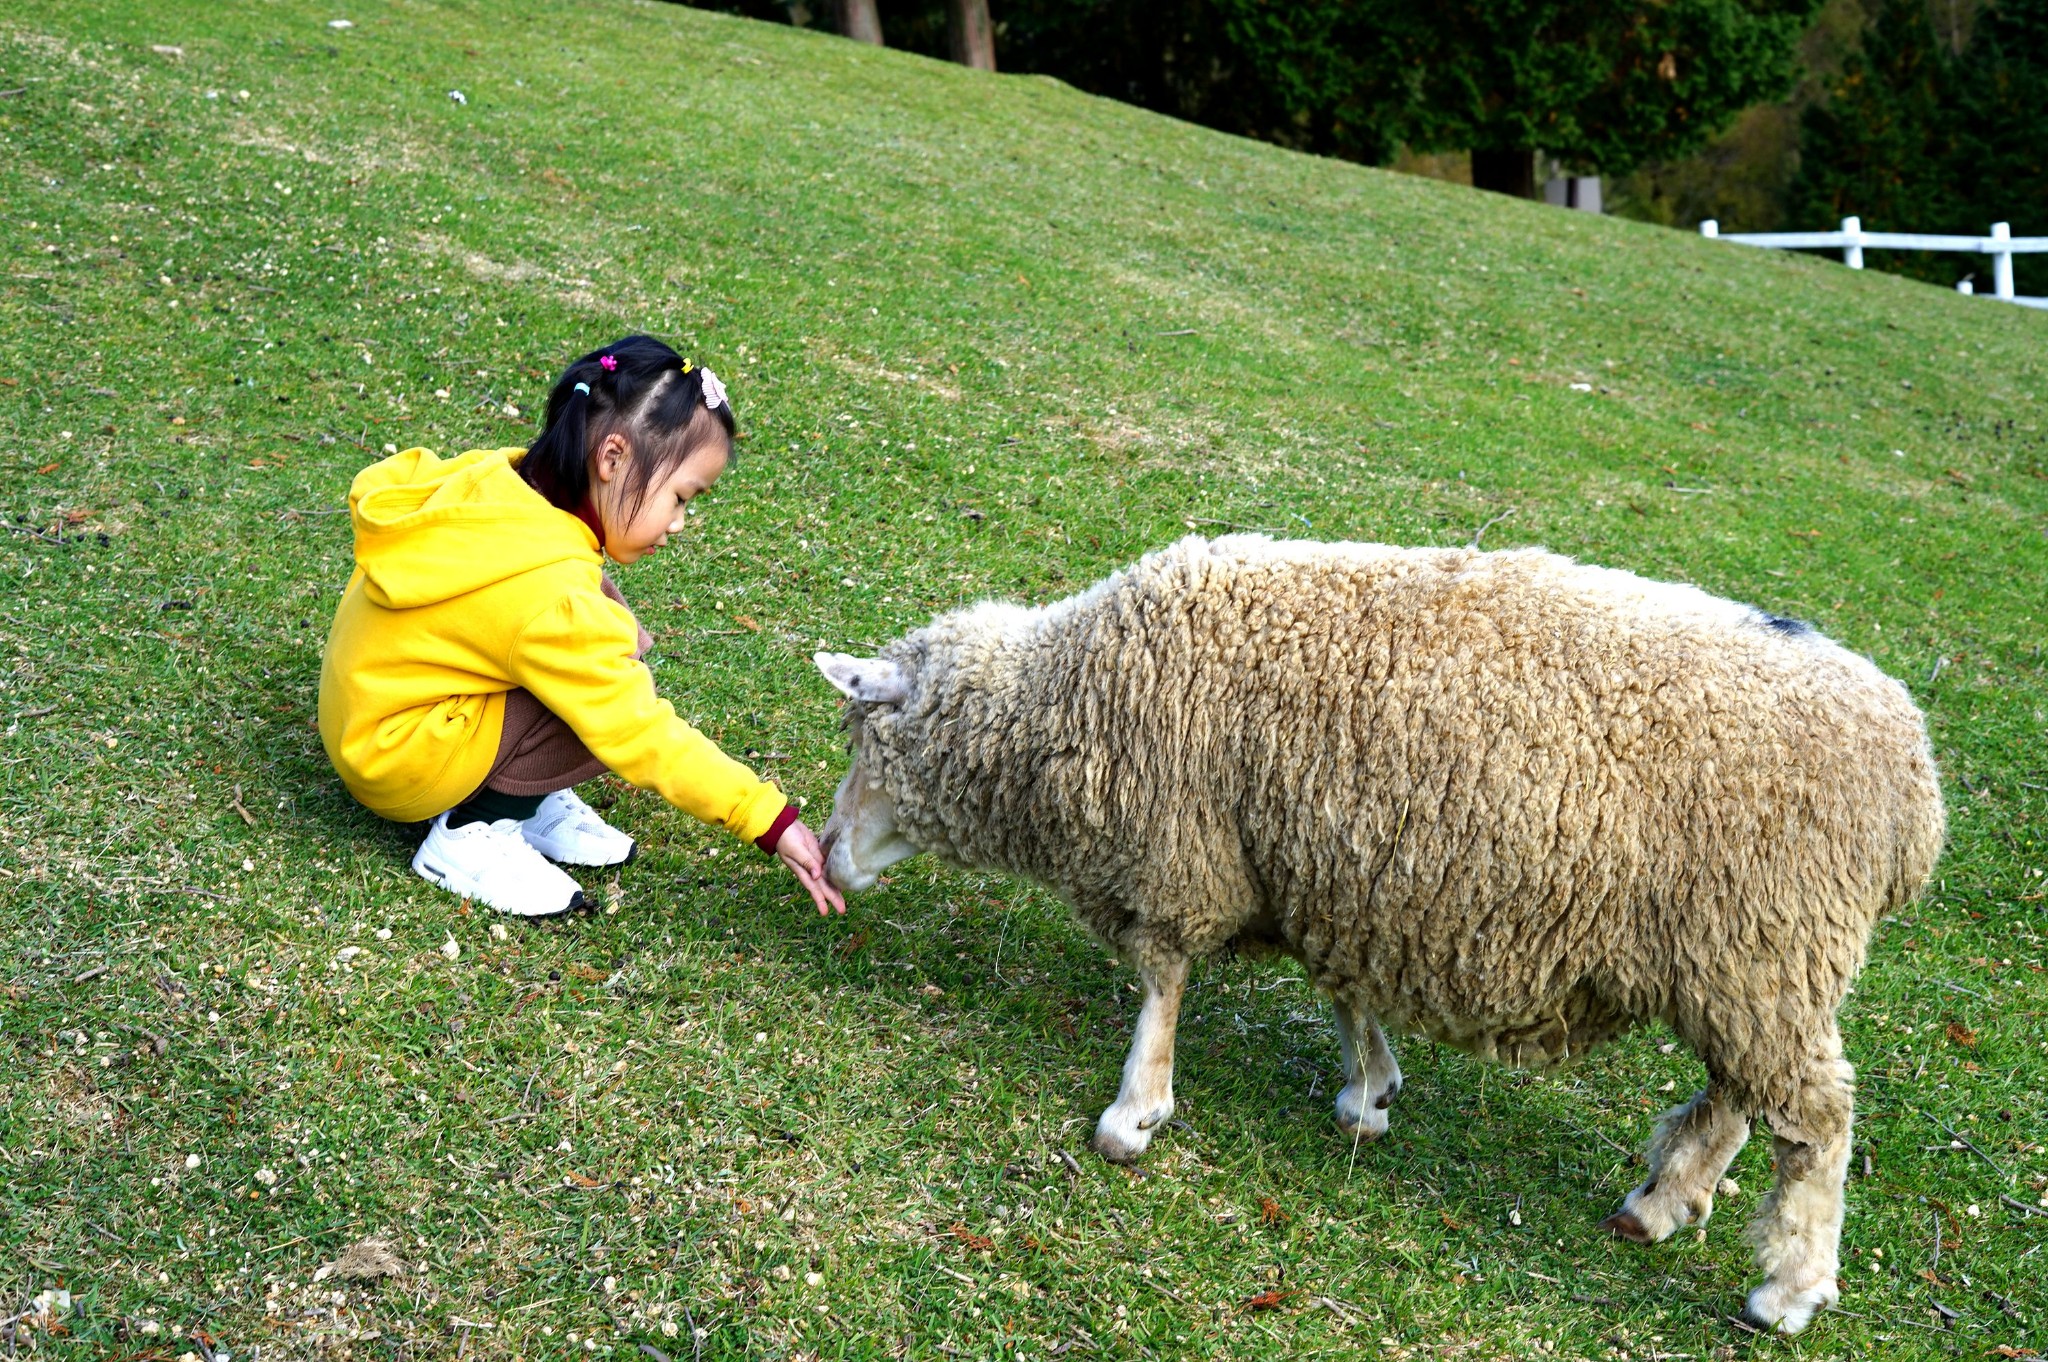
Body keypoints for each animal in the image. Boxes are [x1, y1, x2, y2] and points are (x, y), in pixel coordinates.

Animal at [806, 532, 1941, 1327]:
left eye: (867, 740)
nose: (824, 850)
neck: (1075, 699)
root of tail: (1912, 780)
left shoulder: (1186, 853)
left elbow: (1163, 981)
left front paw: (1135, 1112)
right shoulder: (1324, 874)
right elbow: (1342, 989)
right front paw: (1370, 1089)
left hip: (1763, 943)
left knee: (1816, 1119)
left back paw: (1789, 1289)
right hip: (1743, 960)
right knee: (1743, 1096)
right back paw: (1663, 1200)